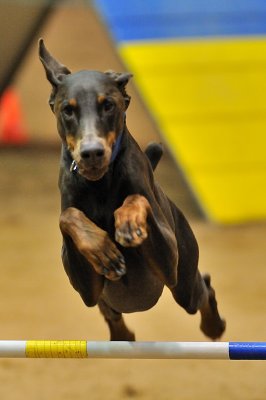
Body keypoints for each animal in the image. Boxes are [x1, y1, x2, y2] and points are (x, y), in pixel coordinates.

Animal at [39, 39, 225, 340]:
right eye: (68, 109)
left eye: (108, 105)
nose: (92, 153)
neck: (100, 184)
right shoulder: (86, 289)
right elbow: (67, 216)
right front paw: (103, 251)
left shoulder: (169, 261)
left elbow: (137, 198)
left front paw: (128, 224)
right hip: (108, 300)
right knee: (111, 312)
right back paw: (121, 335)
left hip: (184, 282)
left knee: (202, 288)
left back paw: (213, 325)